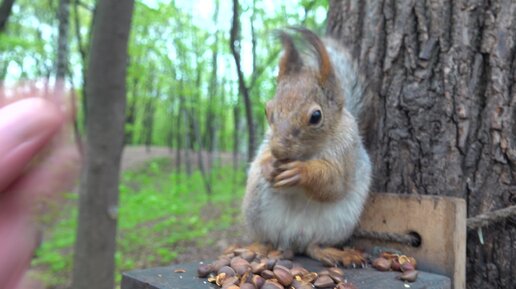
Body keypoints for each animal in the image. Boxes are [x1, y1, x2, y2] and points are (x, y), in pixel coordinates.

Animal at [244, 28, 372, 264]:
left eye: (316, 116)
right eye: (267, 111)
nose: (279, 151)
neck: (307, 153)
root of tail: (291, 241)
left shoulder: (347, 152)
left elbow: (333, 182)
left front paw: (300, 172)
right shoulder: (266, 143)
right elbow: (262, 158)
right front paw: (269, 165)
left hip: (338, 223)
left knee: (313, 246)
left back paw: (333, 252)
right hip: (257, 209)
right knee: (269, 240)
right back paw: (258, 248)